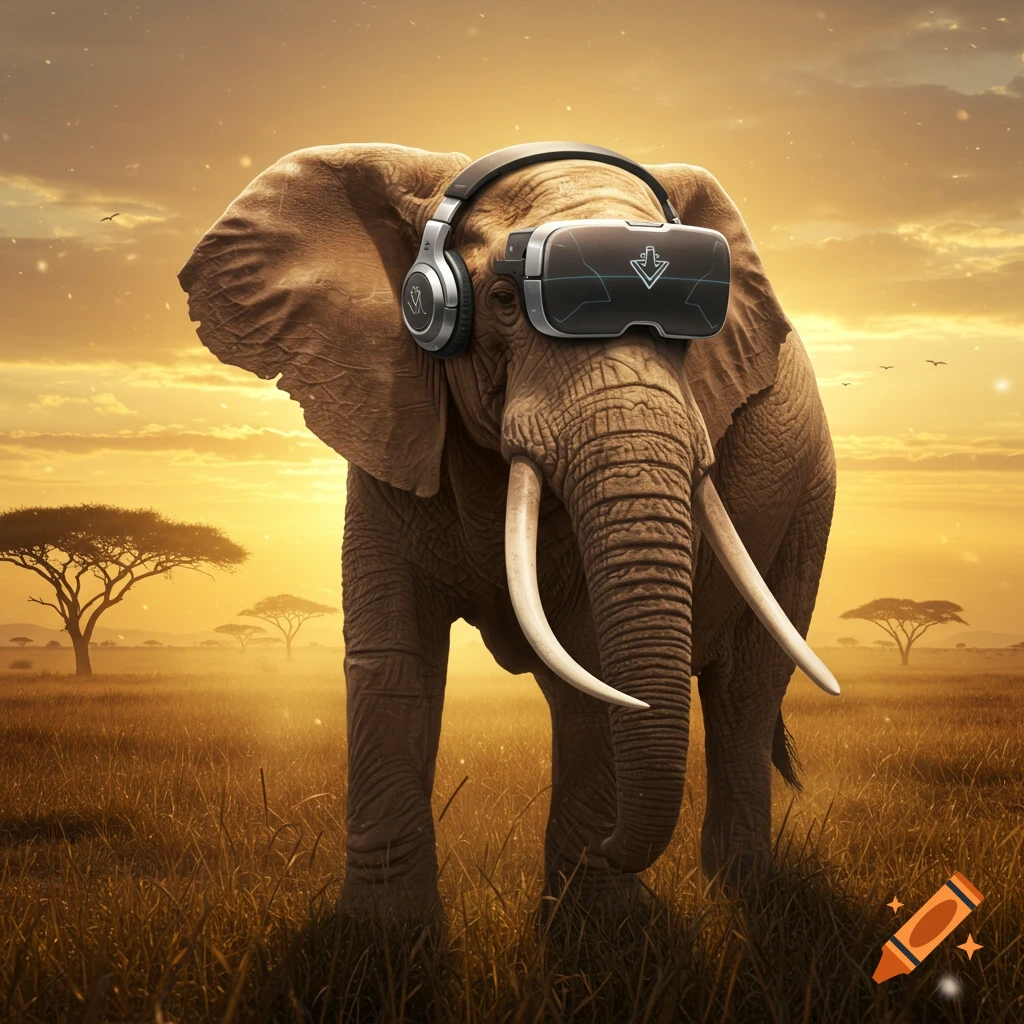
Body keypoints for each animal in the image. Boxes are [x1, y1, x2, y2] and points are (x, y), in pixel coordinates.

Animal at [178, 143, 839, 925]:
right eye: (500, 300)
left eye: (691, 324)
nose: (616, 851)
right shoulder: (391, 420)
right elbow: (395, 661)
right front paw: (385, 932)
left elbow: (596, 666)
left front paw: (598, 927)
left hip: (809, 499)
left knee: (746, 688)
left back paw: (739, 888)